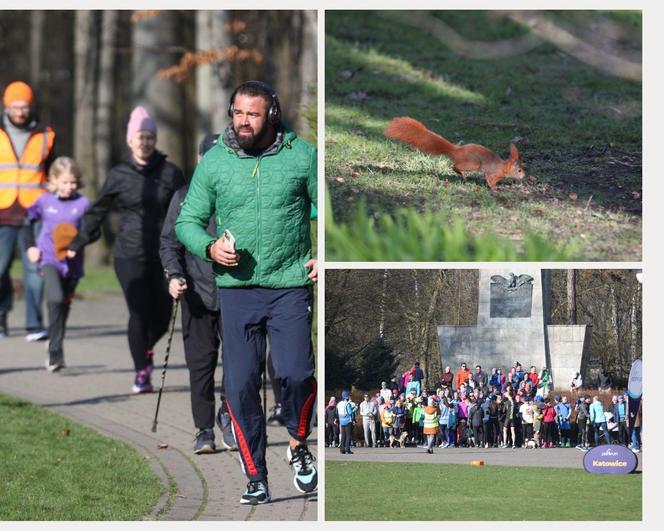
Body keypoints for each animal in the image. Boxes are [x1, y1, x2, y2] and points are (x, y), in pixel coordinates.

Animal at [384, 117, 524, 191]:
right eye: (519, 170)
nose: (524, 176)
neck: (503, 166)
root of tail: (457, 150)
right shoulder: (493, 172)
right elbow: (490, 180)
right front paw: (495, 189)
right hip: (474, 163)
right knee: (454, 166)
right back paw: (463, 175)